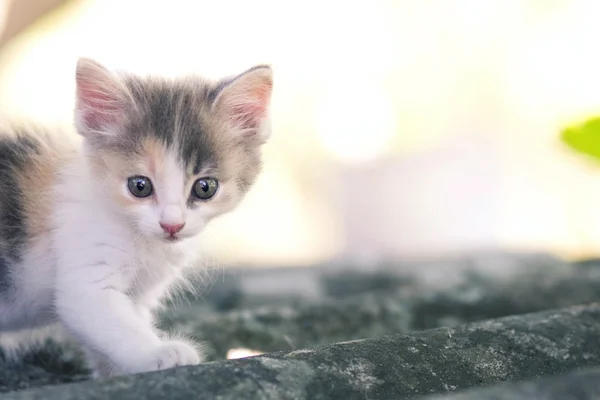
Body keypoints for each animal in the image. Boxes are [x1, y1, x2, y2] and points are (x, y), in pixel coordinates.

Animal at [0, 57, 274, 376]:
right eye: (139, 186)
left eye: (205, 187)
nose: (172, 225)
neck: (141, 239)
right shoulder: (85, 278)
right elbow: (119, 328)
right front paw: (159, 352)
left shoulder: (139, 295)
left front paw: (113, 373)